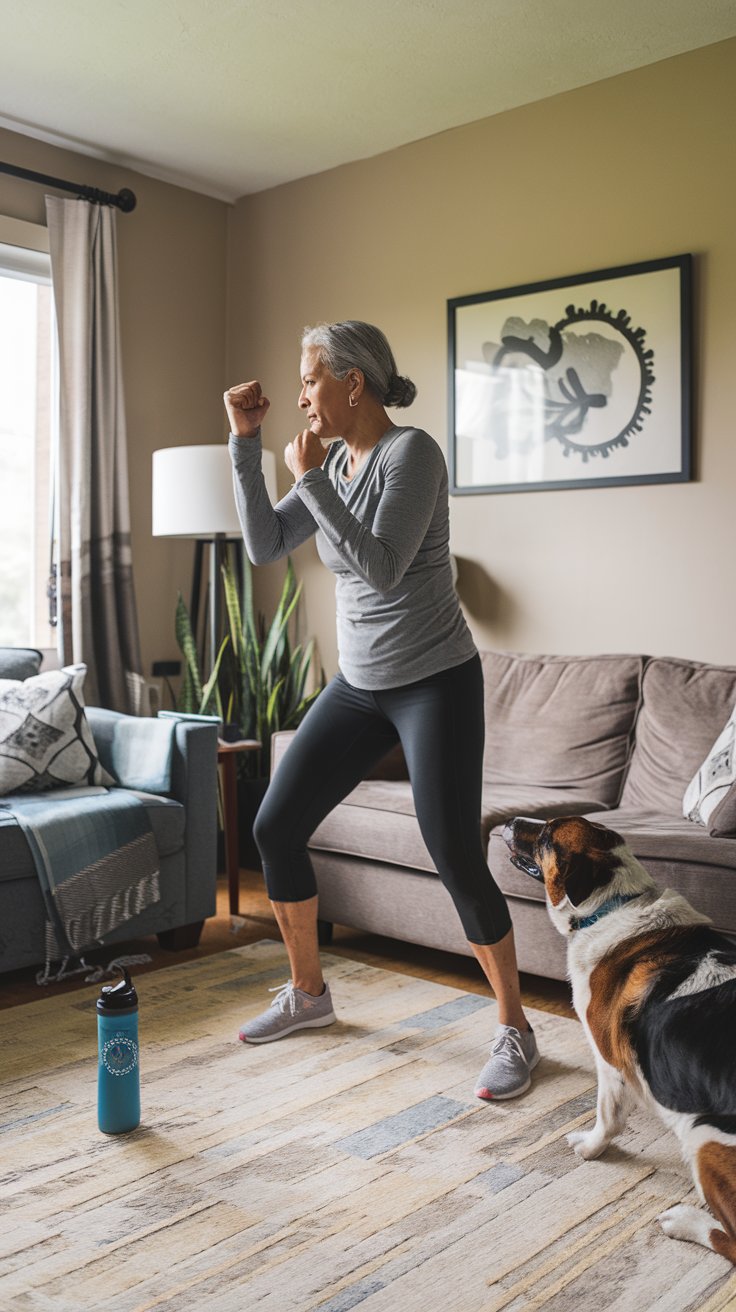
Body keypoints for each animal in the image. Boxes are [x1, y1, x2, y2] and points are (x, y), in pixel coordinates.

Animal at [501, 813, 734, 1264]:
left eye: (546, 835)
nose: (510, 819)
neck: (614, 906)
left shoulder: (607, 1059)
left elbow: (608, 1117)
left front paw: (591, 1148)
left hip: (704, 1136)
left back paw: (684, 1222)